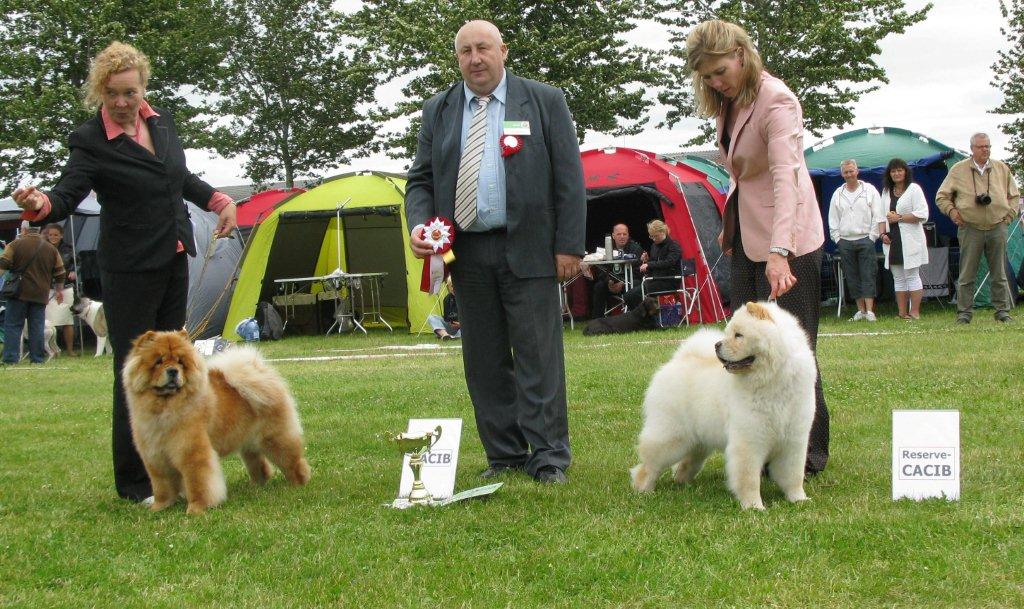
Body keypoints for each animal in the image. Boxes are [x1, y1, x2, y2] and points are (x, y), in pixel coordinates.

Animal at [622, 302, 815, 511]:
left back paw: (684, 485)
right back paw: (644, 490)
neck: (773, 380)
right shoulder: (749, 440)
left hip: (697, 443)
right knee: (648, 465)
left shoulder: (794, 440)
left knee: (685, 464)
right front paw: (754, 506)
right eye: (728, 333)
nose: (717, 345)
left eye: (739, 335)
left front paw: (799, 500)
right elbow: (749, 479)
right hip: (671, 437)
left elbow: (794, 475)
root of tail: (677, 361)